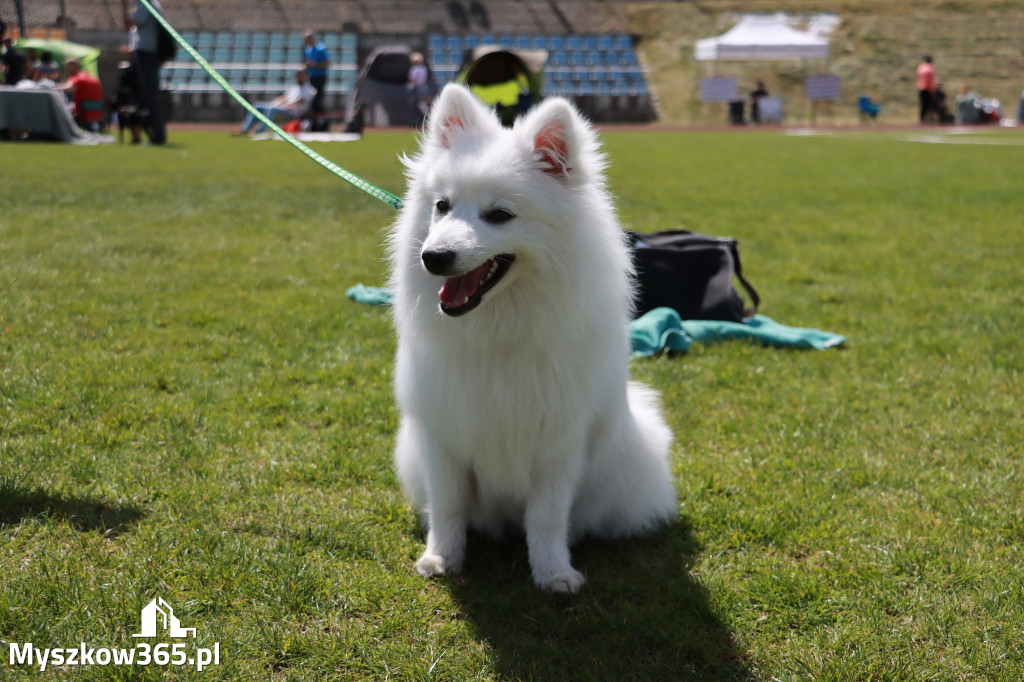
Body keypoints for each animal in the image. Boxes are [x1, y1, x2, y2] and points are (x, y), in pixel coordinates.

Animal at [387, 84, 675, 593]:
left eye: (500, 215)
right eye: (442, 206)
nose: (433, 257)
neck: (500, 330)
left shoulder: (558, 441)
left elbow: (546, 516)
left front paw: (554, 574)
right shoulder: (443, 435)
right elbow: (448, 507)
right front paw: (442, 559)